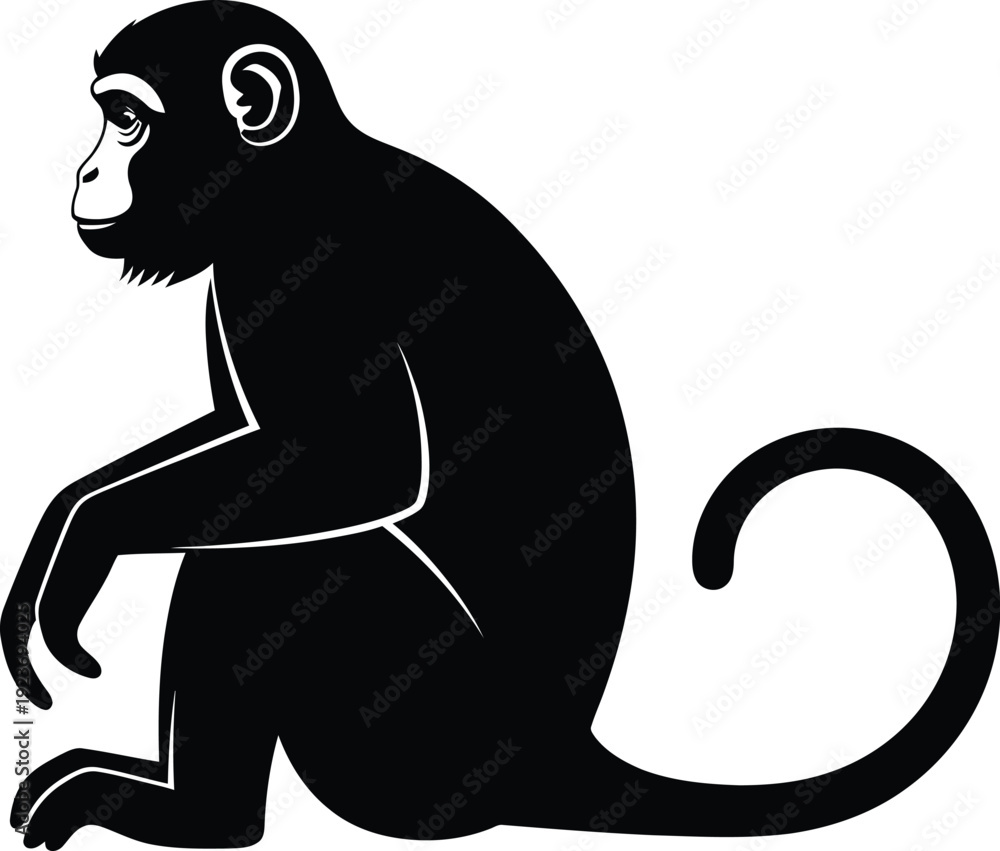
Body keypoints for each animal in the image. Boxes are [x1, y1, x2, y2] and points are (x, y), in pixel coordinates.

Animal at [2, 2, 996, 848]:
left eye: (126, 120)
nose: (84, 171)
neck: (289, 174)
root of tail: (556, 759)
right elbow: (248, 440)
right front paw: (62, 519)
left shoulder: (303, 257)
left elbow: (350, 466)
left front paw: (85, 535)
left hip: (432, 738)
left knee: (302, 560)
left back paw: (204, 815)